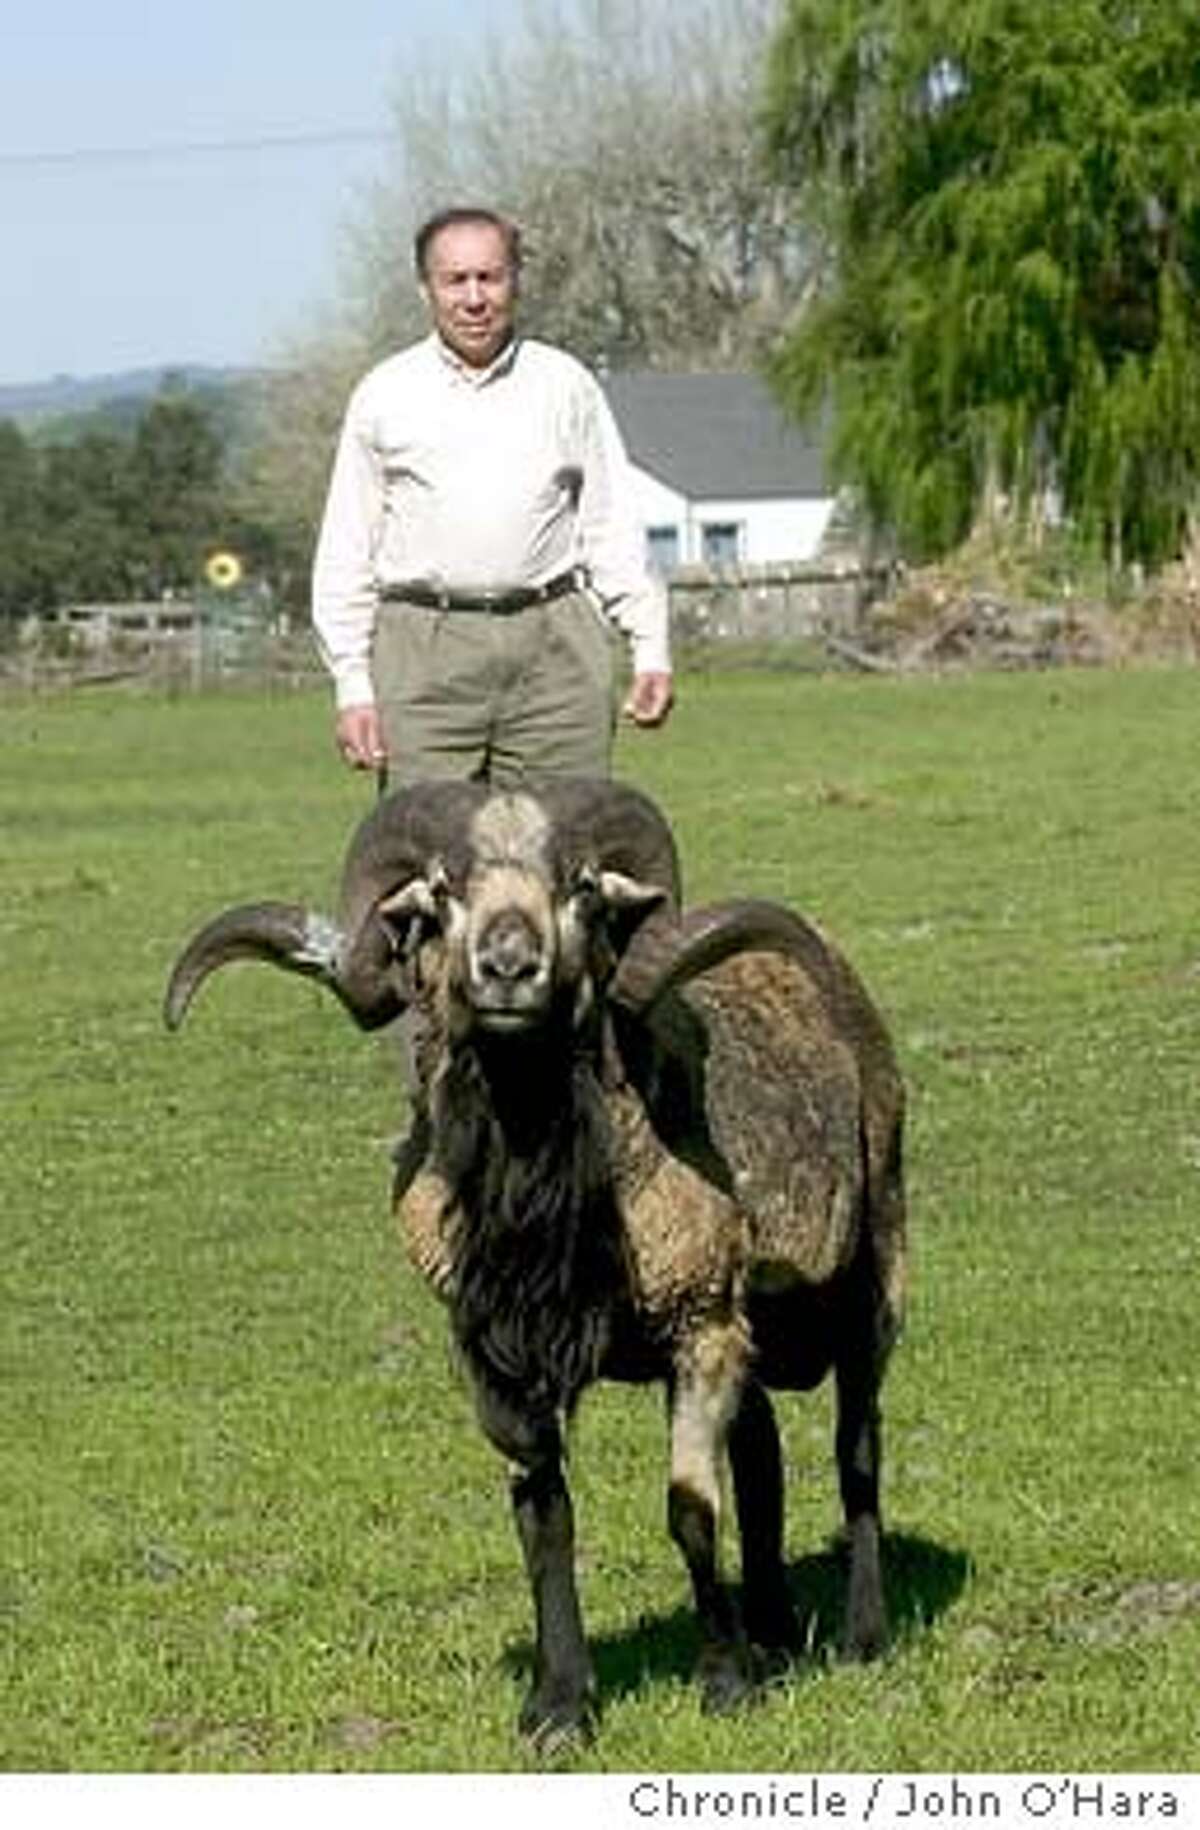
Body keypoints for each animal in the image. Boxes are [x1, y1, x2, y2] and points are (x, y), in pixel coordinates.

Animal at [165, 776, 906, 1751]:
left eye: (580, 886)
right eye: (442, 893)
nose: (509, 966)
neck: (543, 1199)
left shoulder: (698, 1323)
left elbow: (690, 1508)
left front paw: (723, 1686)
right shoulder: (496, 1356)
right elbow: (544, 1517)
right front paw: (559, 1710)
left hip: (870, 1278)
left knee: (856, 1450)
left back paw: (862, 1635)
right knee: (762, 1453)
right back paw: (777, 1635)